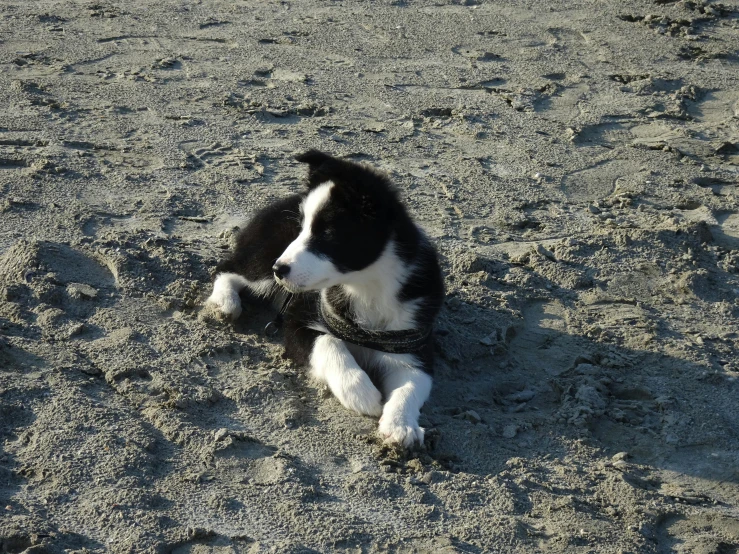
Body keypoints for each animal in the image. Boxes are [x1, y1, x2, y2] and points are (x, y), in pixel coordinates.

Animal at [205, 150, 442, 444]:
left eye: (327, 234)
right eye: (301, 228)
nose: (279, 269)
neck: (365, 285)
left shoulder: (413, 343)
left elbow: (411, 385)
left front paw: (401, 426)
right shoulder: (298, 320)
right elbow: (330, 343)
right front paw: (362, 394)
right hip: (263, 259)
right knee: (229, 267)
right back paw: (225, 303)